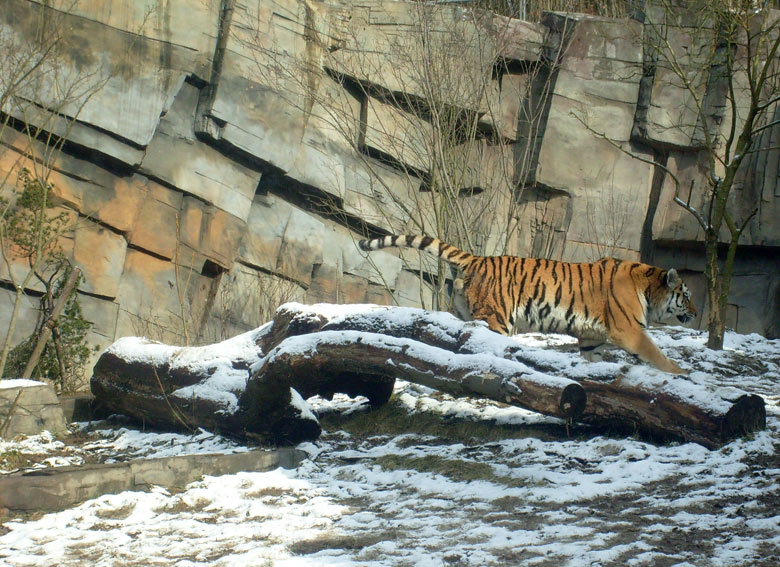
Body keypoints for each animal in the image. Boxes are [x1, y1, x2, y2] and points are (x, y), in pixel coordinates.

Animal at [358, 233, 696, 374]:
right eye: (688, 295)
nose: (695, 313)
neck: (648, 286)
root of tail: (477, 258)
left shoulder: (591, 338)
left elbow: (593, 360)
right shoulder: (629, 331)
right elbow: (655, 353)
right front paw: (679, 373)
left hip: (466, 311)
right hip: (498, 319)